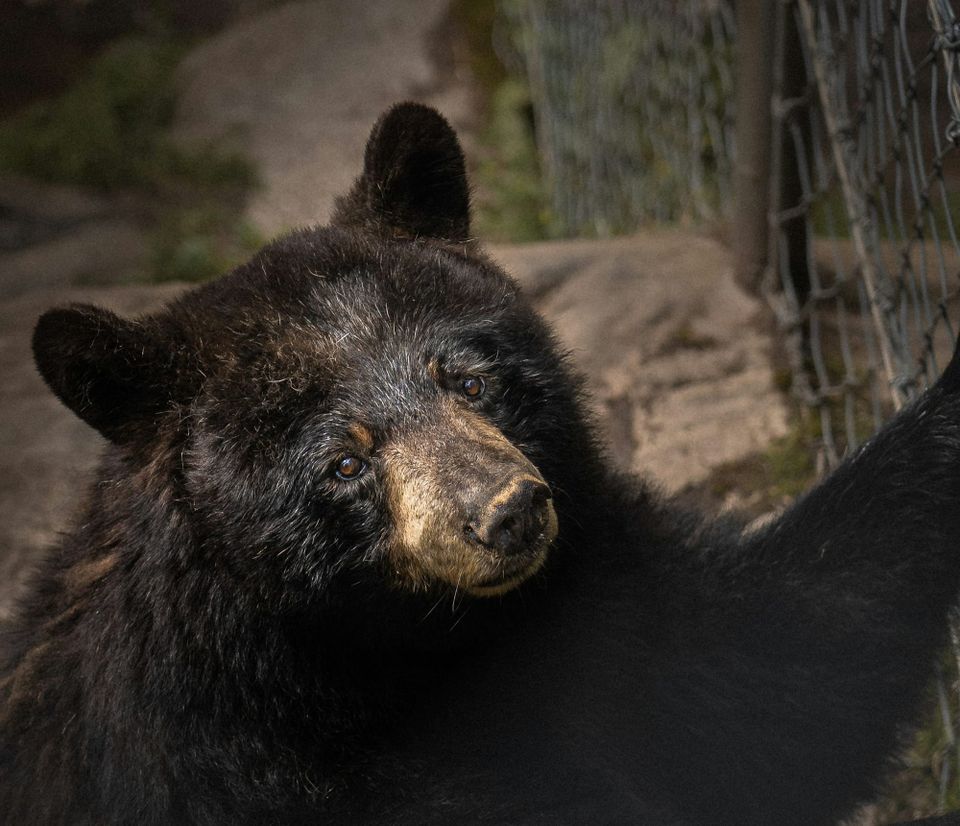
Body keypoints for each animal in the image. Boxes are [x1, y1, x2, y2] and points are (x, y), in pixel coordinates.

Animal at [4, 101, 960, 826]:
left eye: (468, 378)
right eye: (343, 463)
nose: (507, 511)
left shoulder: (604, 612)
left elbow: (775, 672)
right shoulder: (240, 764)